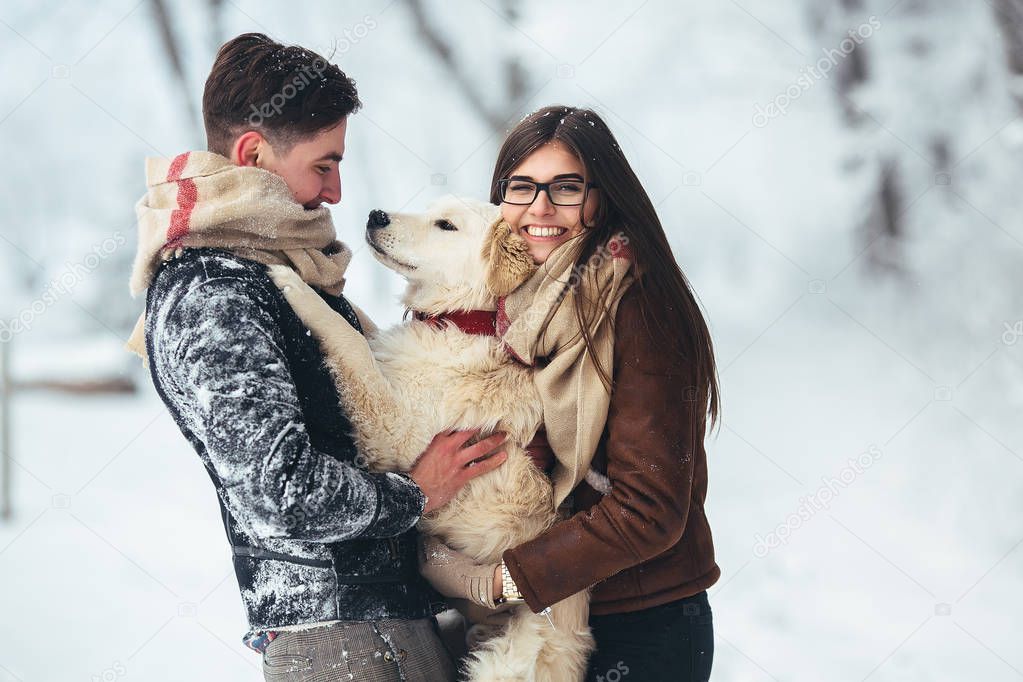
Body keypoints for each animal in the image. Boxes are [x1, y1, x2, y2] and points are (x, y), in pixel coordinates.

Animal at [268, 194, 593, 678]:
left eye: (446, 225)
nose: (376, 216)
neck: (456, 320)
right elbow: (364, 329)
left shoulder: (392, 428)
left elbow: (351, 342)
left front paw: (295, 284)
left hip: (502, 664)